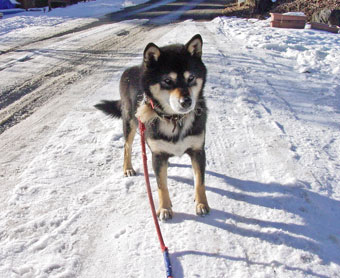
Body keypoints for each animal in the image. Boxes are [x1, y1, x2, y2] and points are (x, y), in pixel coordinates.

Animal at [94, 34, 209, 220]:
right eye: (167, 81)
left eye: (191, 78)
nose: (187, 102)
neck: (174, 119)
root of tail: (131, 69)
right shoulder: (158, 154)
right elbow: (161, 185)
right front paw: (164, 208)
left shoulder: (198, 150)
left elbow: (200, 181)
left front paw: (201, 204)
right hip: (130, 122)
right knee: (127, 146)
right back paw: (128, 168)